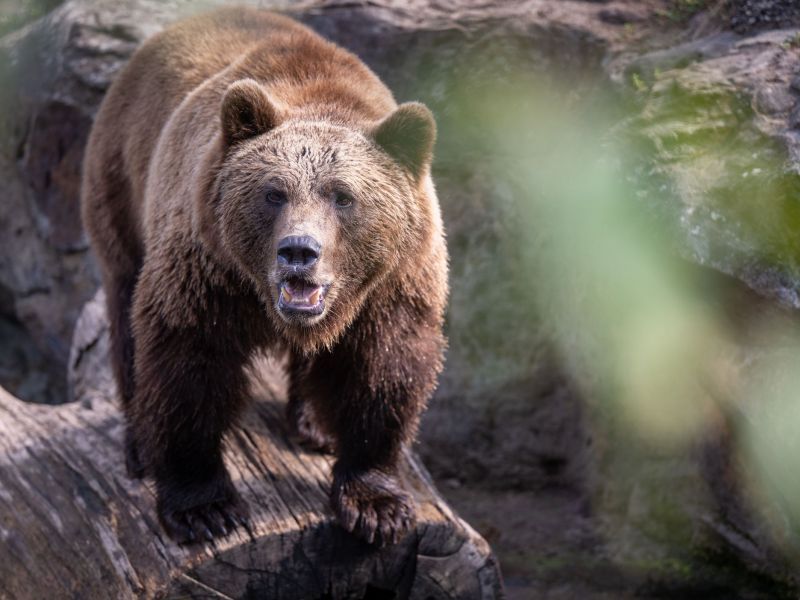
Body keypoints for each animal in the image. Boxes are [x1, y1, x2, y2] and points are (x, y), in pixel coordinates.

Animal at [80, 6, 447, 546]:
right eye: (274, 193)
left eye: (343, 196)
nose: (299, 251)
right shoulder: (208, 268)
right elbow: (186, 363)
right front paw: (204, 507)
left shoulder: (392, 283)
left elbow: (384, 370)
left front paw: (375, 504)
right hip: (122, 182)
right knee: (126, 309)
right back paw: (139, 444)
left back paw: (316, 424)